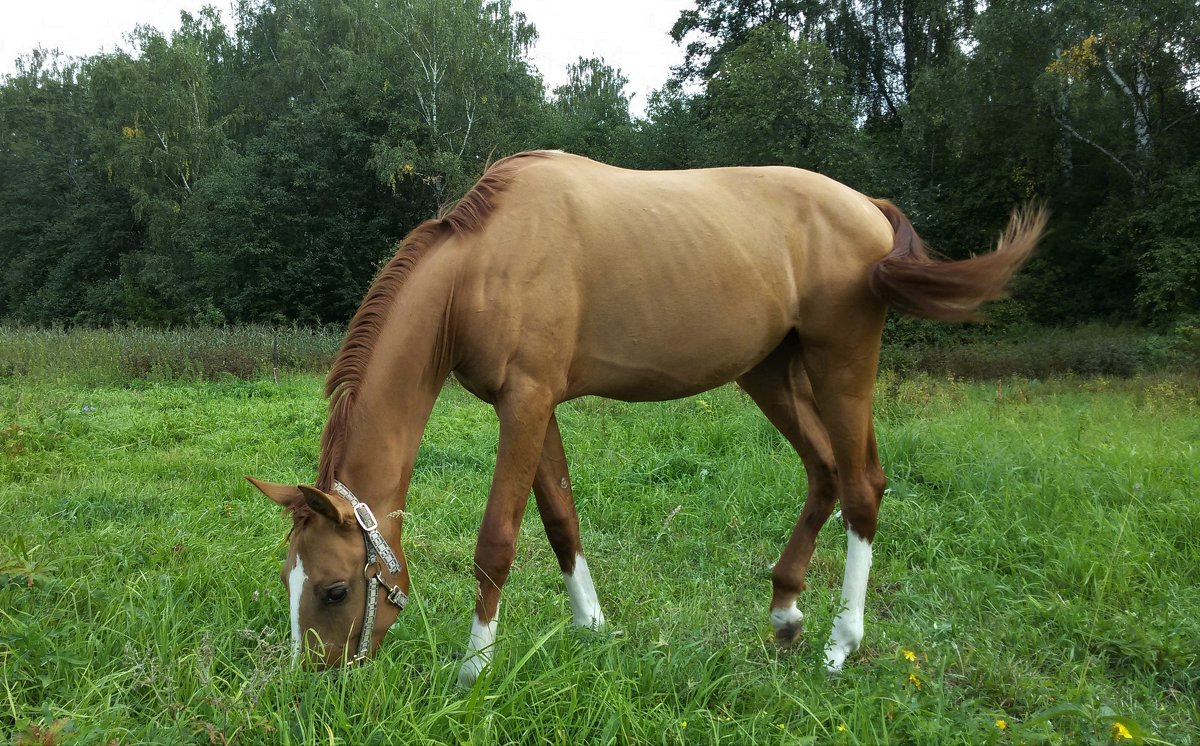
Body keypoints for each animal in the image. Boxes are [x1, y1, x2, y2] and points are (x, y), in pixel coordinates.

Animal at [248, 150, 1046, 686]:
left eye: (334, 589)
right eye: (289, 576)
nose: (317, 682)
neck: (480, 266)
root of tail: (867, 208)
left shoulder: (526, 404)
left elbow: (497, 540)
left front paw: (474, 668)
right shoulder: (536, 405)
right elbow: (561, 519)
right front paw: (591, 629)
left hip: (841, 363)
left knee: (861, 487)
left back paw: (838, 644)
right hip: (770, 371)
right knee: (822, 472)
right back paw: (785, 613)